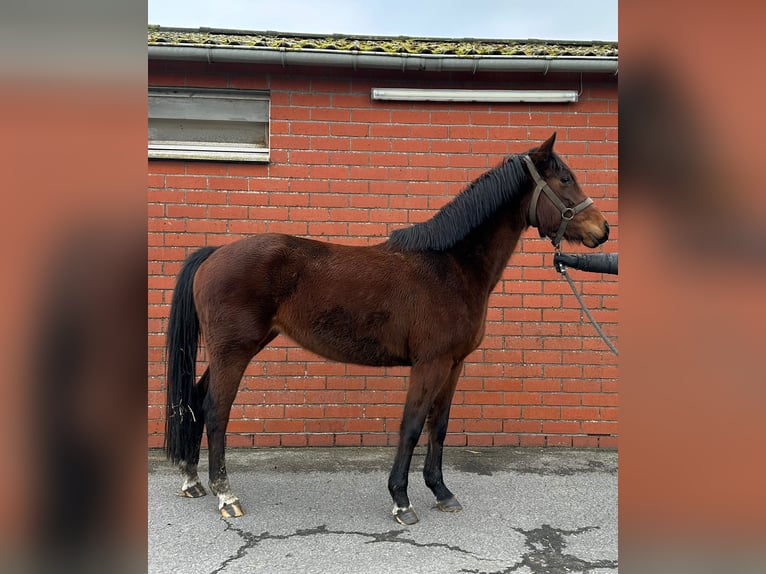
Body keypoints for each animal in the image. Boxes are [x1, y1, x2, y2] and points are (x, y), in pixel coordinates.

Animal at [164, 134, 612, 528]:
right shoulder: (430, 364)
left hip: (234, 349)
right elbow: (411, 427)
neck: (450, 266)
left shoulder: (454, 365)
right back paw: (226, 495)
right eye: (565, 179)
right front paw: (402, 500)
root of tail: (215, 253)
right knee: (216, 410)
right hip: (234, 351)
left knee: (196, 398)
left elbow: (438, 427)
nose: (602, 230)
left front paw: (442, 492)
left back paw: (192, 479)